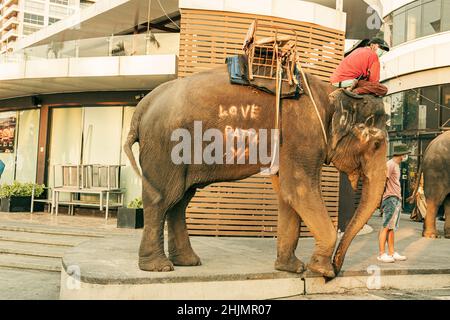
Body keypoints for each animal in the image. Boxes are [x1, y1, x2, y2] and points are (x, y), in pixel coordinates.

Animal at [125, 66, 388, 278]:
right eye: (376, 144)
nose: (337, 268)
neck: (331, 94)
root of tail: (140, 109)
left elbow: (287, 195)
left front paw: (293, 269)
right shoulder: (303, 134)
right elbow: (299, 190)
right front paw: (320, 271)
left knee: (179, 201)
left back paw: (187, 262)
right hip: (165, 147)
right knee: (162, 199)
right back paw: (159, 267)